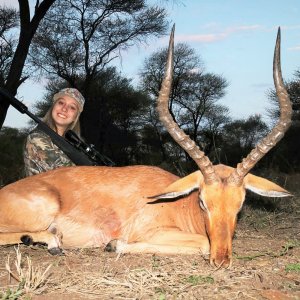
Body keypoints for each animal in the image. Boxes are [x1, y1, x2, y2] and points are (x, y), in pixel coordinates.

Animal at [0, 27, 292, 268]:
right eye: (202, 201)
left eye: (240, 203)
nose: (221, 260)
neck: (177, 204)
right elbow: (201, 242)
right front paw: (113, 244)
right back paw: (49, 241)